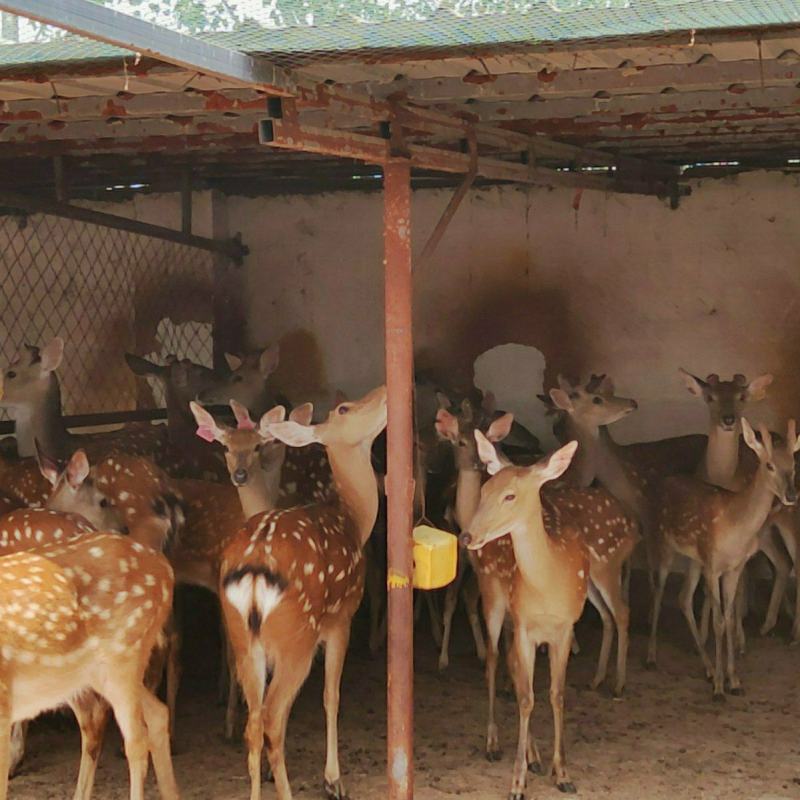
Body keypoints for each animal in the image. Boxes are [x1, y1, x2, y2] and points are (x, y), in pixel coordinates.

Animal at [218, 385, 386, 800]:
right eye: (344, 409)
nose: (385, 393)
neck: (353, 519)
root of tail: (255, 570)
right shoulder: (342, 618)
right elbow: (331, 696)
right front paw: (334, 779)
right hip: (296, 638)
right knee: (272, 718)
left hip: (244, 640)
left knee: (253, 722)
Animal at [459, 437, 587, 797]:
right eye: (484, 490)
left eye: (510, 495)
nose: (467, 536)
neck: (549, 584)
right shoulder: (525, 625)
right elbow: (528, 698)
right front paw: (517, 783)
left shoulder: (566, 628)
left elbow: (556, 695)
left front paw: (563, 773)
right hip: (493, 596)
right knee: (493, 660)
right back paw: (494, 744)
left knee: (513, 670)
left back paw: (535, 757)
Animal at [650, 418, 800, 699]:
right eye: (769, 464)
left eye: (793, 465)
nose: (792, 495)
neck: (735, 527)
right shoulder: (712, 565)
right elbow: (719, 621)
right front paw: (720, 688)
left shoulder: (733, 567)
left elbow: (730, 619)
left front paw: (734, 681)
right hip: (664, 544)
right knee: (658, 589)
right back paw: (651, 657)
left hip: (694, 559)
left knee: (683, 598)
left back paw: (707, 667)